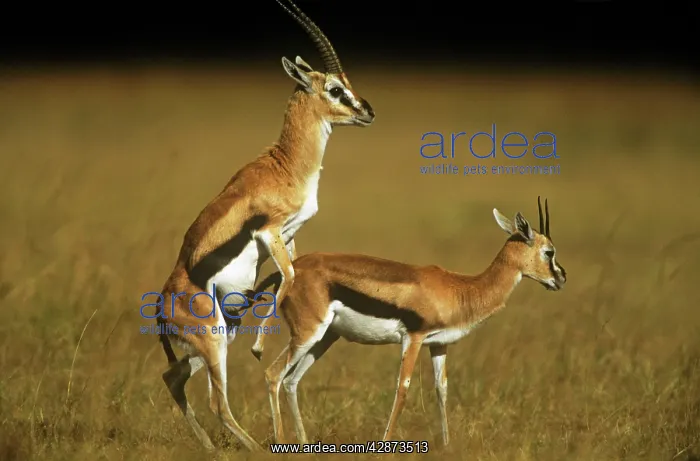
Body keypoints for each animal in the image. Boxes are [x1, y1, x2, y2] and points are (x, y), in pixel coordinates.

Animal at [148, 0, 375, 451]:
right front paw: (258, 348)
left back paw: (211, 448)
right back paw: (252, 446)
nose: (368, 111)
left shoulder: (290, 235)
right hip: (214, 342)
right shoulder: (269, 232)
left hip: (209, 346)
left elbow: (284, 276)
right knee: (216, 403)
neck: (285, 167)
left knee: (173, 377)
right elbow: (288, 276)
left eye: (347, 84)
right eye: (334, 89)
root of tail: (164, 308)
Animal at [256, 198, 567, 445]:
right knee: (273, 374)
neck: (462, 288)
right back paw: (281, 441)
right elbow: (402, 390)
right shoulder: (414, 338)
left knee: (291, 380)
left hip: (325, 338)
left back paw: (304, 443)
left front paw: (447, 445)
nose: (561, 278)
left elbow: (442, 390)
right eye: (549, 251)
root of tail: (290, 271)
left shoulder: (438, 345)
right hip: (308, 334)